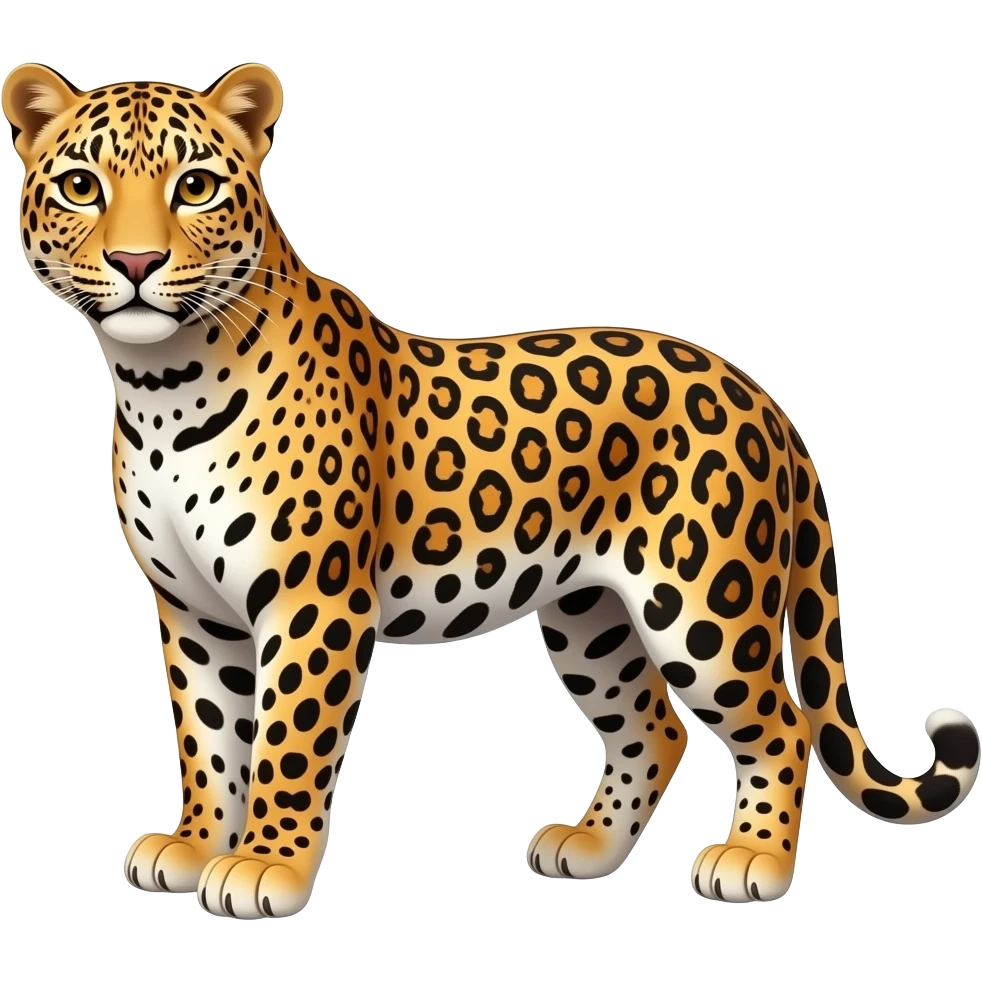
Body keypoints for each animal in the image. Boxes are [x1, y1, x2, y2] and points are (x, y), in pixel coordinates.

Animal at [4, 60, 979, 917]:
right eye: (82, 186)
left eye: (197, 186)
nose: (136, 262)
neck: (163, 384)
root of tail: (760, 396)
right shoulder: (192, 609)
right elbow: (209, 735)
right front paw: (198, 843)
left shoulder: (313, 601)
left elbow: (287, 739)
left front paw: (264, 868)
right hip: (590, 614)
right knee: (653, 728)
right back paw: (587, 846)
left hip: (703, 608)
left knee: (780, 725)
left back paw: (754, 862)